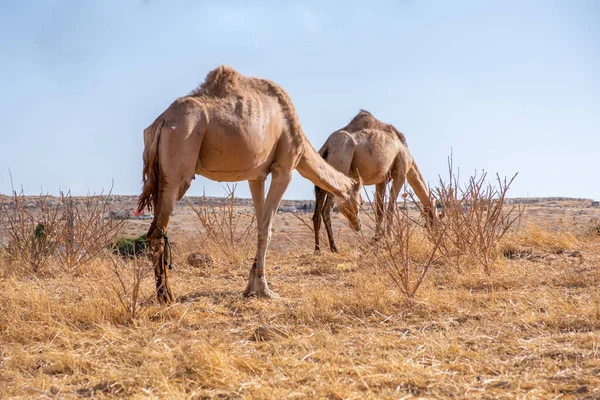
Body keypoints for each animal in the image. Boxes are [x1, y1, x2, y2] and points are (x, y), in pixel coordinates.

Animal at [135, 65, 360, 304]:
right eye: (360, 200)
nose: (357, 224)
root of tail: (162, 122)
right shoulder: (284, 169)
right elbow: (267, 230)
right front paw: (264, 290)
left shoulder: (256, 177)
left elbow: (260, 224)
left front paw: (252, 285)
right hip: (178, 166)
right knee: (158, 232)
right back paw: (166, 296)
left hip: (160, 175)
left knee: (154, 230)